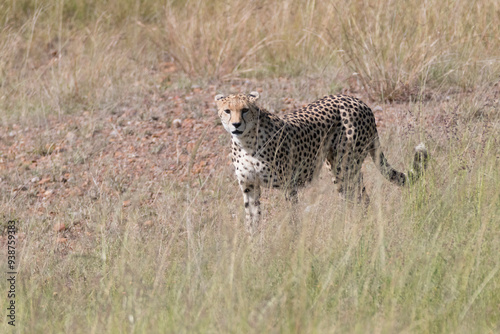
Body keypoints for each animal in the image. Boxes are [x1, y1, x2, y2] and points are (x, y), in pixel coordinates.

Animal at [216, 90, 430, 234]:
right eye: (227, 111)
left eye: (245, 110)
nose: (236, 124)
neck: (246, 142)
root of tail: (357, 100)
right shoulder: (249, 186)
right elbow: (251, 219)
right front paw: (252, 249)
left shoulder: (288, 184)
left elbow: (293, 216)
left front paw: (292, 242)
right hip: (337, 165)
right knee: (354, 197)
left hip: (345, 165)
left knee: (359, 198)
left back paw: (351, 229)